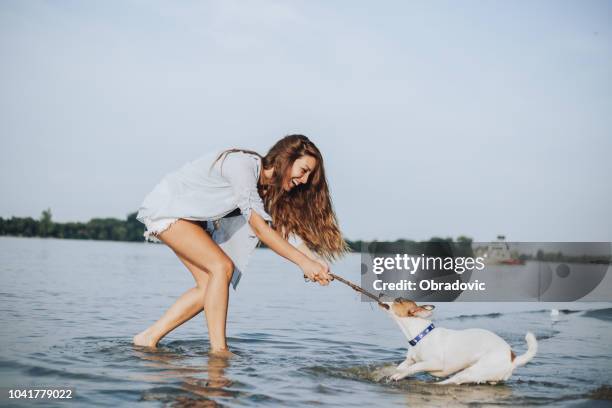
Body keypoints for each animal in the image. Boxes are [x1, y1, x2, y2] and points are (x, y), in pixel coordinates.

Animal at [382, 298, 536, 384]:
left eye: (398, 300)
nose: (381, 294)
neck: (421, 335)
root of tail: (513, 358)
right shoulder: (410, 360)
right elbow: (402, 366)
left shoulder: (434, 363)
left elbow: (413, 368)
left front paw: (399, 375)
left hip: (471, 372)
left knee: (453, 381)